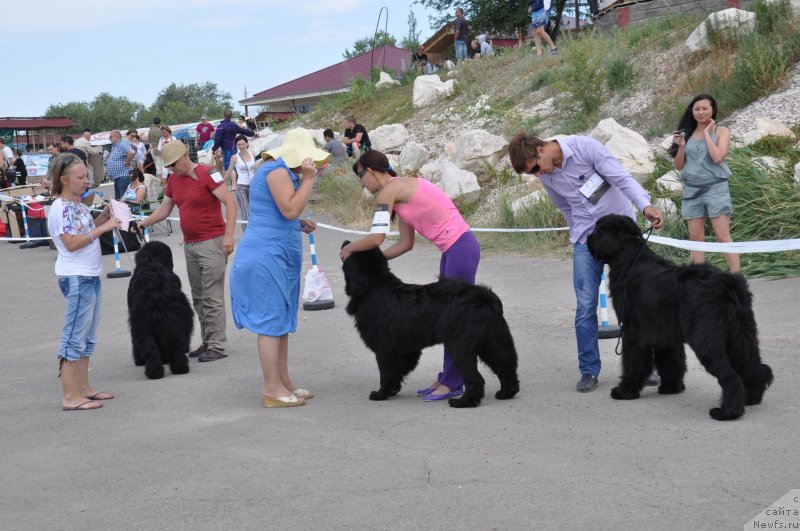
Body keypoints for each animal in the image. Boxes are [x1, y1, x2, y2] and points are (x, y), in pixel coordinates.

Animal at [130, 241, 197, 382]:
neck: (153, 260)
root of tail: (158, 293)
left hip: (144, 327)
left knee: (157, 350)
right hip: (177, 323)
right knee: (171, 348)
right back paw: (172, 370)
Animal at [340, 243, 520, 410]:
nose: (346, 241)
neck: (372, 285)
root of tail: (485, 296)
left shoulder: (384, 349)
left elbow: (386, 373)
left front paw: (380, 394)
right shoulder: (404, 349)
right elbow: (397, 370)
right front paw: (392, 390)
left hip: (460, 347)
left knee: (475, 378)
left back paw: (463, 402)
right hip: (493, 342)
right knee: (506, 366)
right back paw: (506, 393)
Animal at [584, 215, 772, 420]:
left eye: (598, 231)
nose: (587, 238)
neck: (629, 259)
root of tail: (727, 284)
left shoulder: (632, 332)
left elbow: (633, 363)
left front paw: (625, 391)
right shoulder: (664, 334)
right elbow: (671, 361)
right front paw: (671, 388)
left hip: (706, 339)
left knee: (730, 375)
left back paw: (727, 412)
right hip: (742, 336)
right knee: (752, 366)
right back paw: (751, 398)